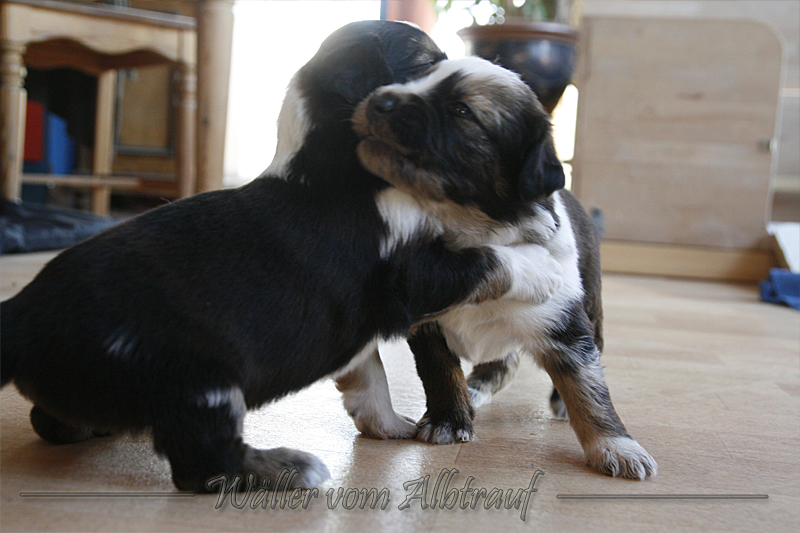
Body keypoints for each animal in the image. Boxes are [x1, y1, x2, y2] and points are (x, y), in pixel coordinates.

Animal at [0, 23, 564, 492]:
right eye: (427, 65)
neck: (330, 162)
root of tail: (22, 316)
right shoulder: (412, 274)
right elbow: (491, 258)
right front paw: (548, 266)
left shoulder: (359, 324)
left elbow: (370, 379)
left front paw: (390, 427)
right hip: (198, 381)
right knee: (203, 468)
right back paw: (291, 468)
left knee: (49, 421)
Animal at [352, 56, 658, 480]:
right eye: (415, 80)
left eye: (462, 110)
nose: (378, 99)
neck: (472, 229)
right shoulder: (424, 317)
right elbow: (440, 371)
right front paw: (450, 420)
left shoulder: (563, 322)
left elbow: (588, 386)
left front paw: (616, 446)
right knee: (504, 360)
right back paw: (476, 387)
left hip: (593, 303)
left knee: (588, 349)